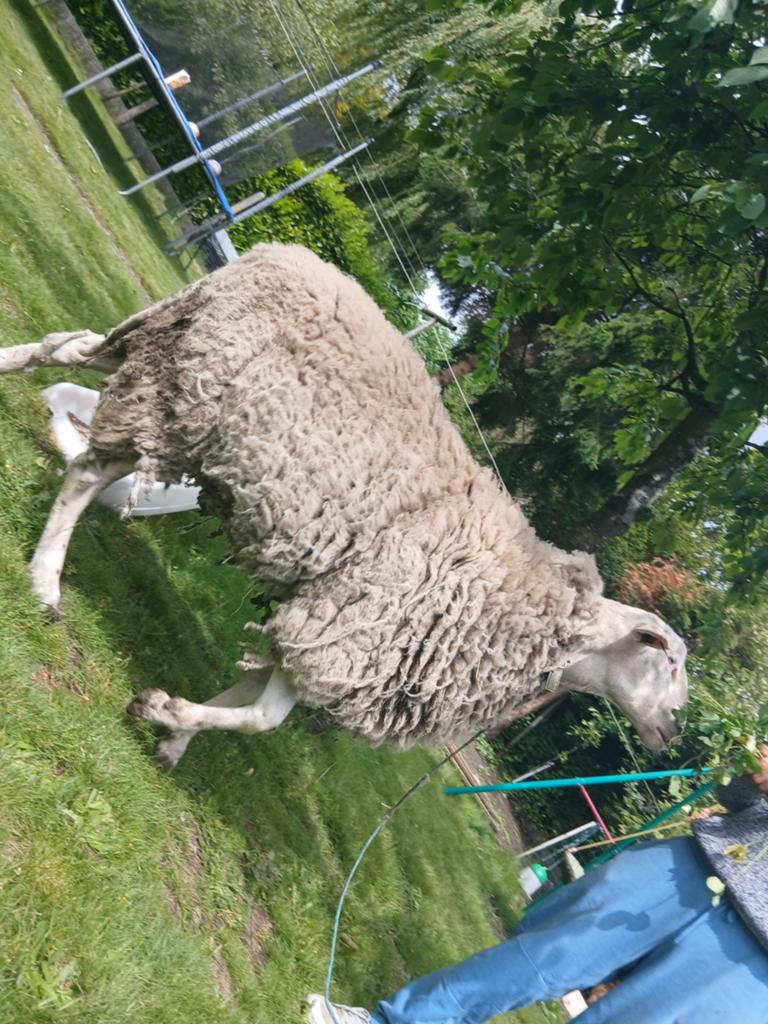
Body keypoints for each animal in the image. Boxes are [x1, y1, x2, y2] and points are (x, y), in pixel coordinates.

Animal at [0, 243, 688, 767]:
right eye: (668, 659)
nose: (674, 733)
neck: (514, 600)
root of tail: (278, 253)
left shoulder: (331, 627)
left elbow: (247, 695)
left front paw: (174, 734)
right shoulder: (352, 627)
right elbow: (261, 719)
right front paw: (166, 711)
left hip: (167, 349)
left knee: (66, 346)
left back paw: (12, 365)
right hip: (184, 398)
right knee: (86, 472)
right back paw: (44, 583)